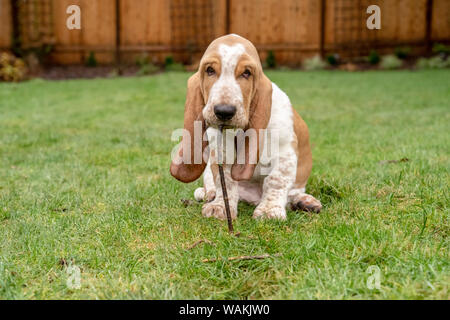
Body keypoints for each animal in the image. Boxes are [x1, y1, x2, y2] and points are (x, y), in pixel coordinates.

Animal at [171, 35, 322, 220]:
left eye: (247, 73)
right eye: (209, 70)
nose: (224, 111)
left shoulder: (285, 151)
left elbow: (276, 180)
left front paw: (269, 211)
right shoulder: (222, 153)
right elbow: (225, 182)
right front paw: (220, 206)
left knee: (294, 193)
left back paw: (306, 202)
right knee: (209, 187)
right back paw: (210, 195)